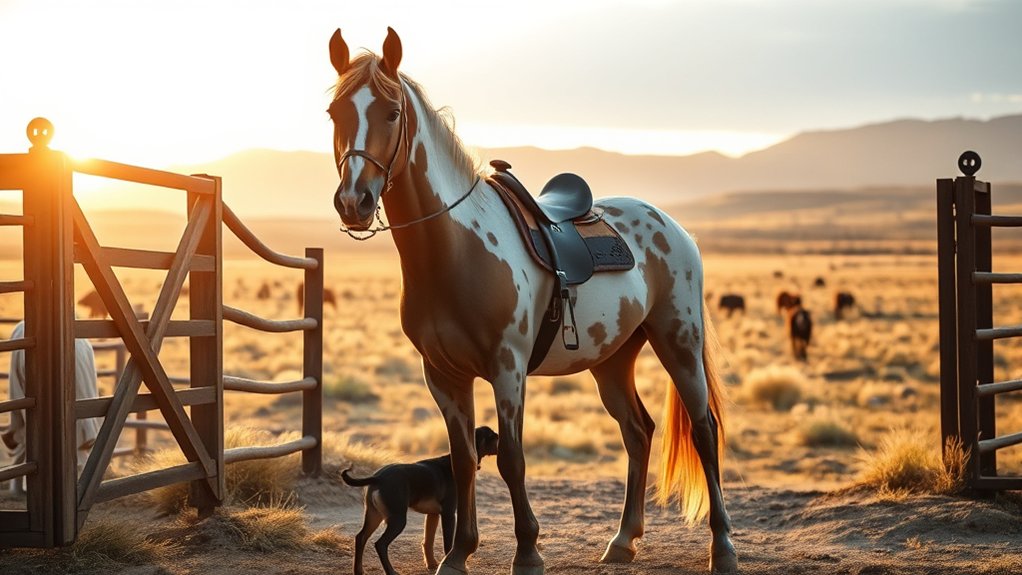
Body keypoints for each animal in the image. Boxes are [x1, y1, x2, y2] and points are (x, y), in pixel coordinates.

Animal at [325, 28, 736, 575]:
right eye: (335, 112)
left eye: (392, 113)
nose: (354, 202)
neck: (454, 251)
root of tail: (672, 226)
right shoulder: (443, 376)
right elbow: (463, 461)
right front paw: (457, 554)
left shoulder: (508, 368)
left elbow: (512, 460)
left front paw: (528, 552)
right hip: (611, 360)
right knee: (638, 431)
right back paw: (623, 540)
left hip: (679, 341)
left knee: (703, 431)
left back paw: (723, 546)